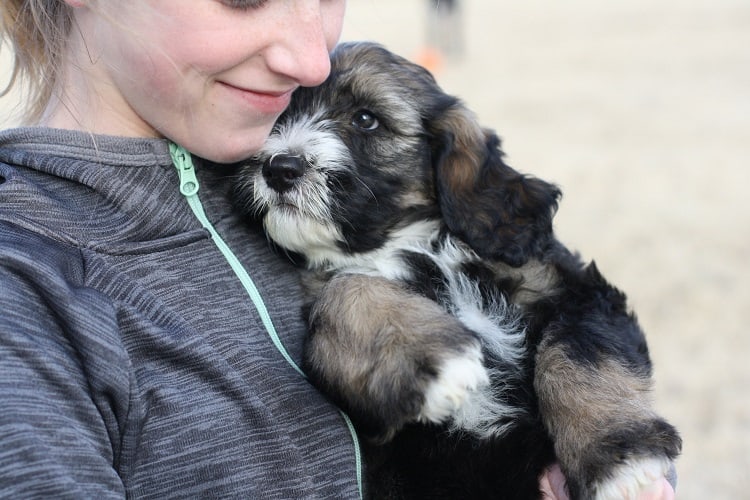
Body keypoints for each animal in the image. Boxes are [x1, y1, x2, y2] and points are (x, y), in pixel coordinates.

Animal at [235, 41, 680, 498]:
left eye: (365, 119)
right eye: (279, 116)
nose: (279, 168)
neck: (406, 243)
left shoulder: (575, 290)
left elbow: (579, 354)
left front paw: (620, 462)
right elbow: (349, 288)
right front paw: (436, 362)